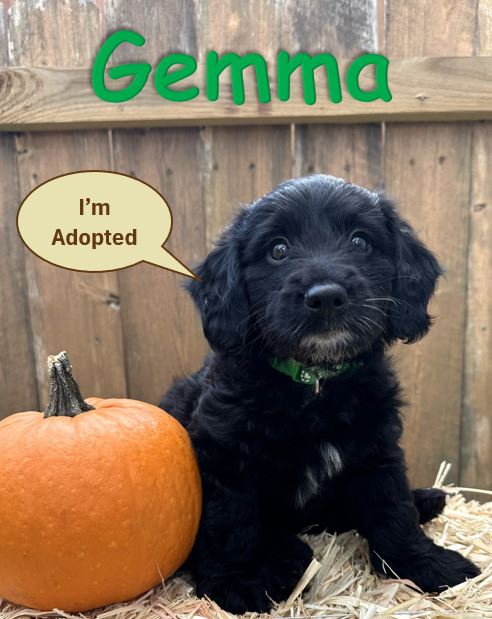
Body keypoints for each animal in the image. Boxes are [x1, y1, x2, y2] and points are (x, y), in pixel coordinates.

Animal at [160, 176, 476, 616]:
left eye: (360, 242)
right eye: (277, 250)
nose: (325, 296)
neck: (315, 385)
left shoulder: (377, 448)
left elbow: (393, 509)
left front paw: (425, 563)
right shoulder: (224, 457)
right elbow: (231, 523)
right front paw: (235, 582)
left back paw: (426, 499)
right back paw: (287, 559)